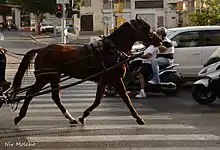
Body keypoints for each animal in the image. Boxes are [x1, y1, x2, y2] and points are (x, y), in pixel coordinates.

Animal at [8, 17, 162, 125]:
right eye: (147, 28)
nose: (160, 40)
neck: (112, 49)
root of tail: (42, 49)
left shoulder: (104, 79)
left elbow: (98, 100)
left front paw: (84, 116)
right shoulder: (116, 79)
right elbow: (126, 99)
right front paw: (138, 118)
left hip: (53, 77)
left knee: (55, 97)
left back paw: (70, 118)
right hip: (44, 77)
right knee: (30, 93)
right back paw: (20, 116)